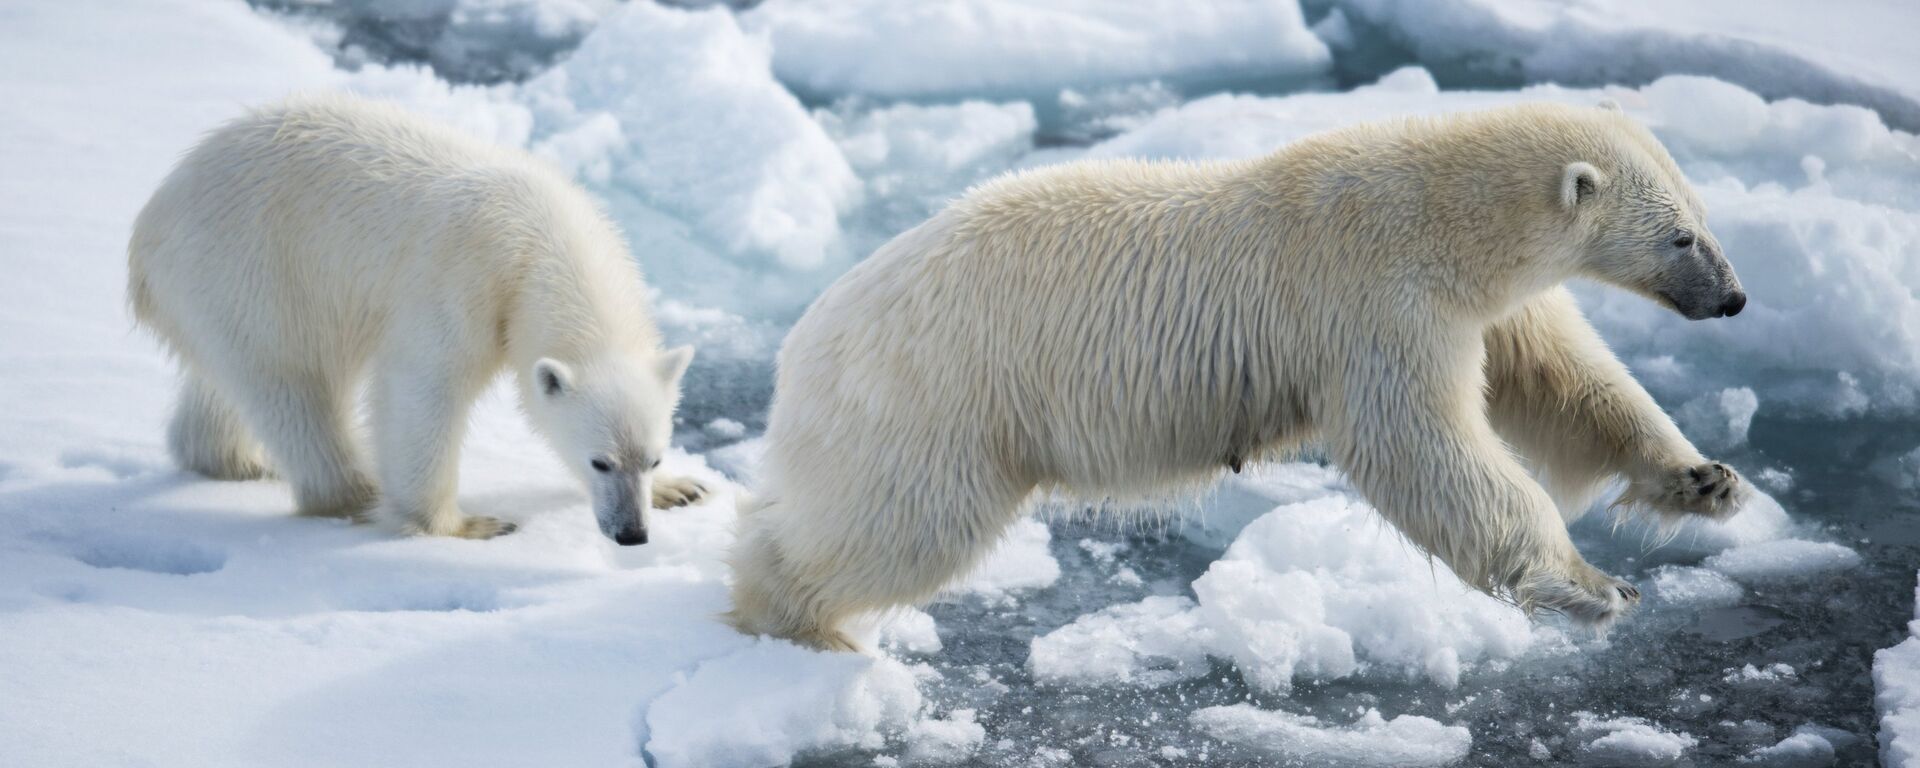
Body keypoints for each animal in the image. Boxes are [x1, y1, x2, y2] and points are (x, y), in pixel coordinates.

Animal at [133, 93, 706, 541]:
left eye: (653, 458)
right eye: (600, 461)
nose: (632, 534)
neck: (544, 241)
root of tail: (149, 228)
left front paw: (681, 489)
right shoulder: (465, 282)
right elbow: (422, 388)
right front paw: (463, 525)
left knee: (225, 383)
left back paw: (232, 458)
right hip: (253, 268)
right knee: (294, 386)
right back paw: (355, 492)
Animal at [733, 101, 1758, 652]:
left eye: (1704, 215)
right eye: (1681, 237)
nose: (1736, 298)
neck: (1439, 213)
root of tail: (805, 338)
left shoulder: (1483, 305)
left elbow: (1566, 384)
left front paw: (1706, 480)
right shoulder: (1374, 302)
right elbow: (1425, 448)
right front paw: (1594, 584)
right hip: (936, 395)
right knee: (902, 522)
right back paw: (793, 615)